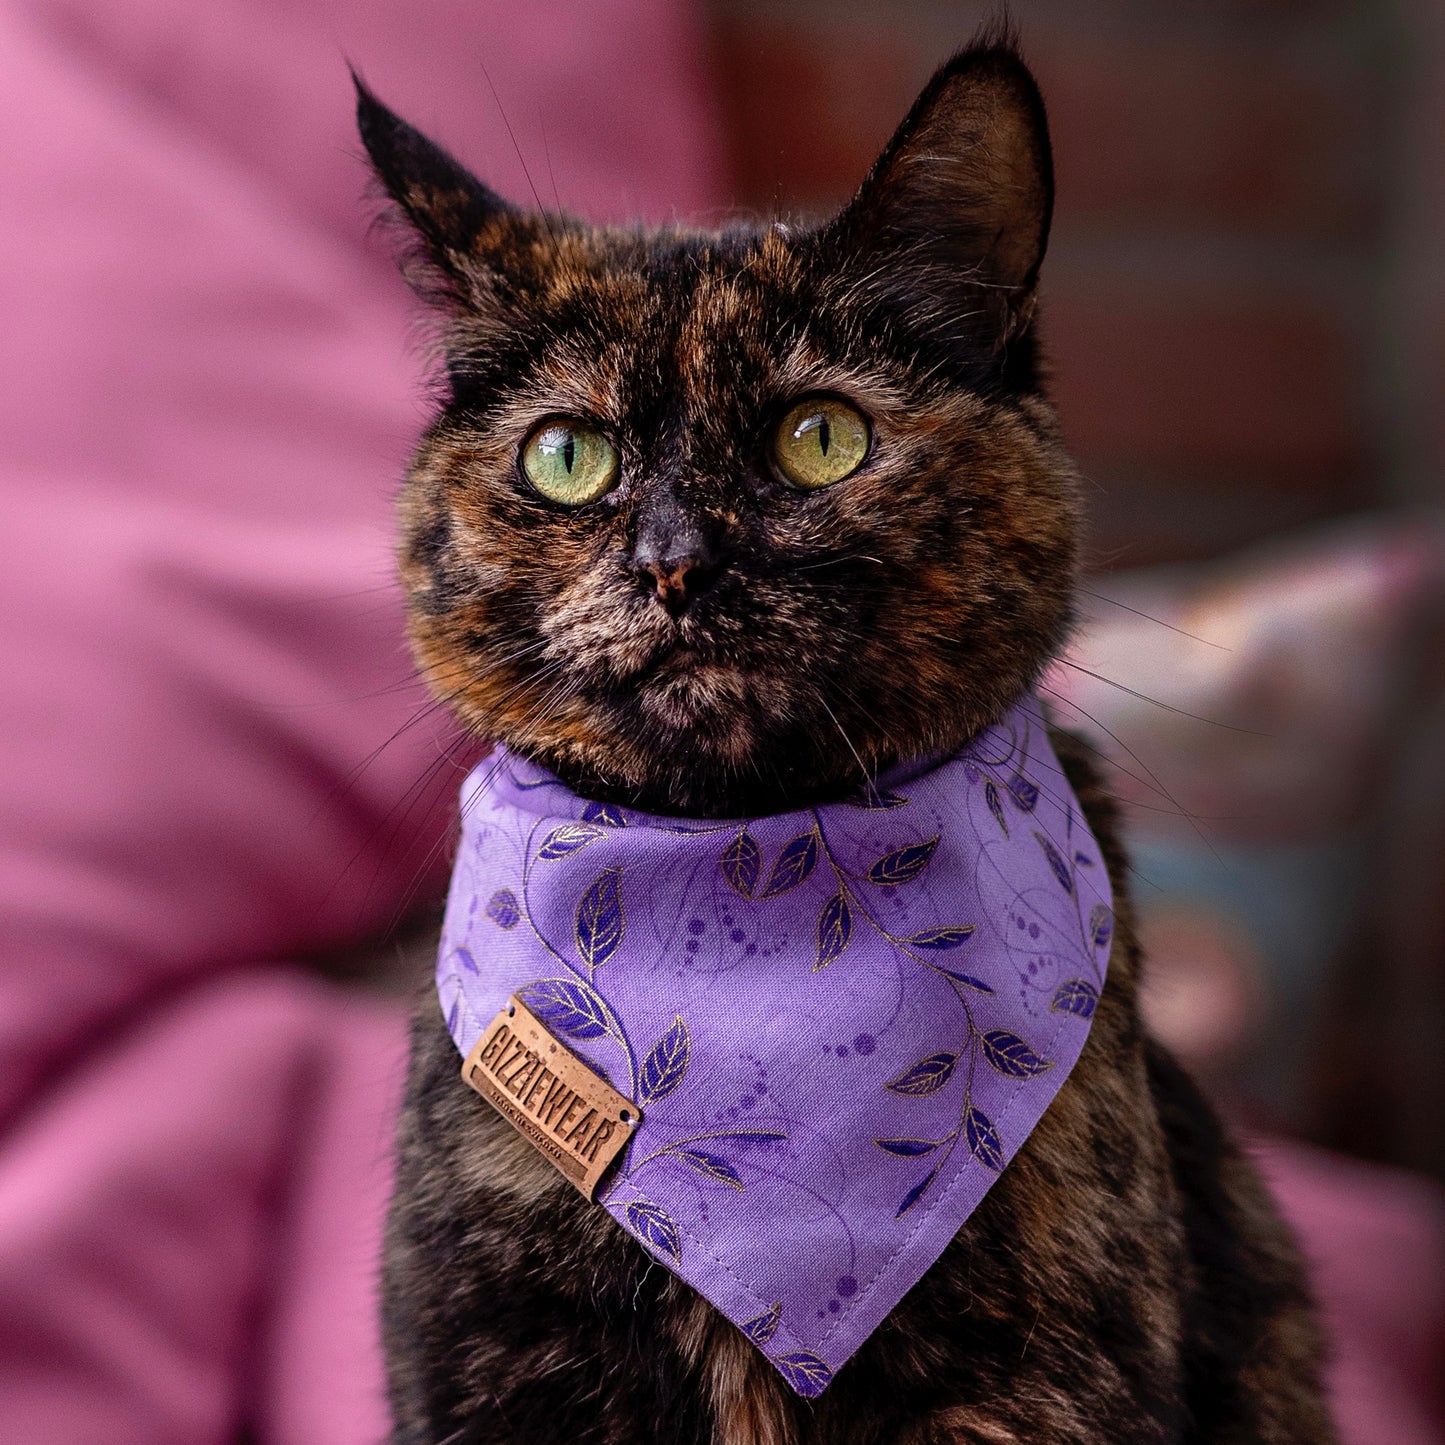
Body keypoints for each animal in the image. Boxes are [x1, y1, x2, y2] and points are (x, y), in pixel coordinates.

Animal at [355, 33, 1335, 1445]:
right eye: (565, 456)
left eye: (818, 438)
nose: (674, 564)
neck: (738, 887)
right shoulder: (484, 1361)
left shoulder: (1038, 1377)